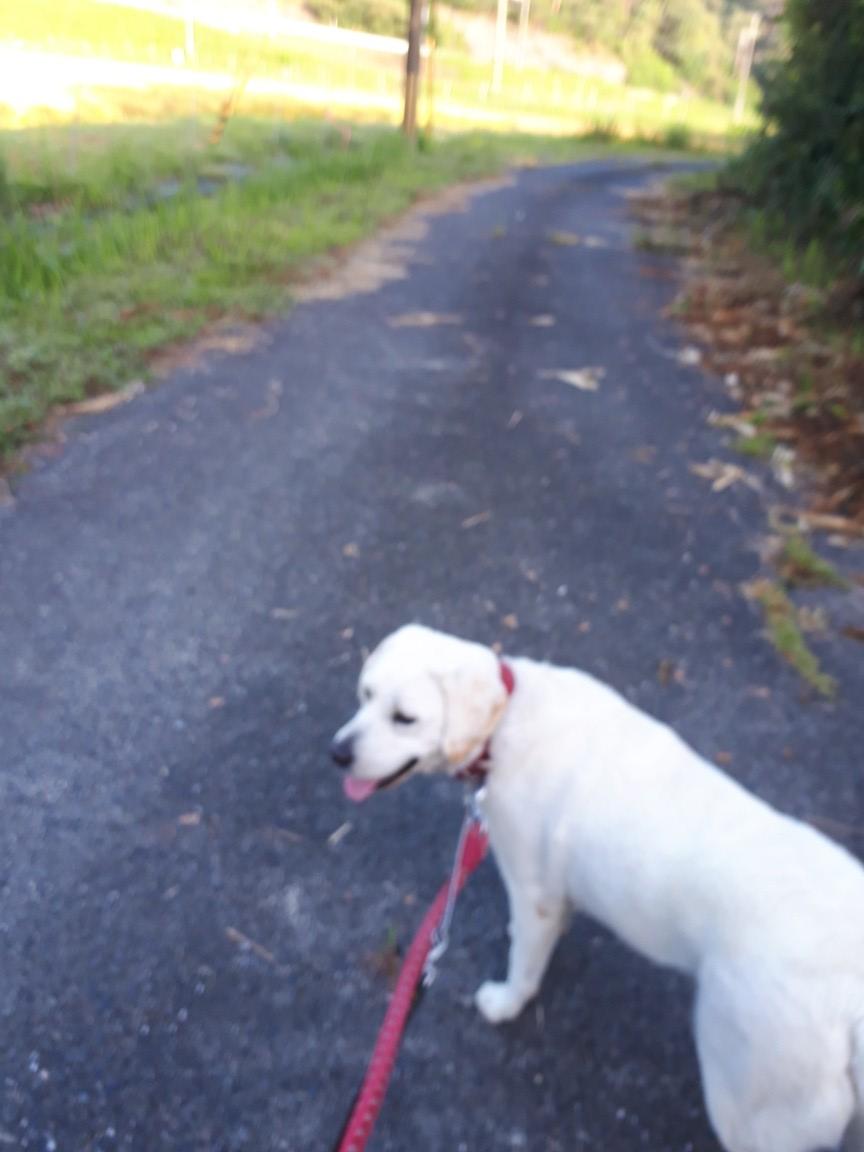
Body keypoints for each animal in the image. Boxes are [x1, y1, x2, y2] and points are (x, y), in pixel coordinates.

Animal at [331, 624, 864, 1152]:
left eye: (405, 718)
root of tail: (849, 997)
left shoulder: (532, 892)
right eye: (365, 694)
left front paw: (504, 1004)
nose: (337, 753)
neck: (504, 722)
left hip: (749, 1105)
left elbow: (524, 969)